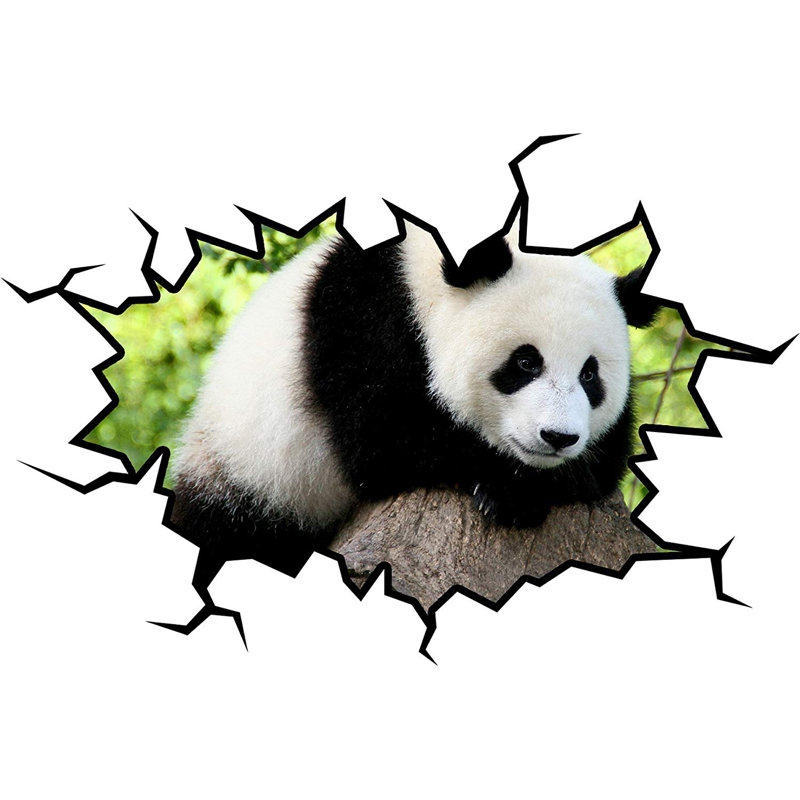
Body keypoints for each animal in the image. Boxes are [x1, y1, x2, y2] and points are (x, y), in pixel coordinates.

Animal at [171, 213, 660, 583]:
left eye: (590, 374)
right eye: (526, 362)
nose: (557, 437)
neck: (423, 283)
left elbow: (609, 458)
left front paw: (549, 480)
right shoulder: (358, 326)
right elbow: (383, 440)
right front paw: (510, 490)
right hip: (249, 473)